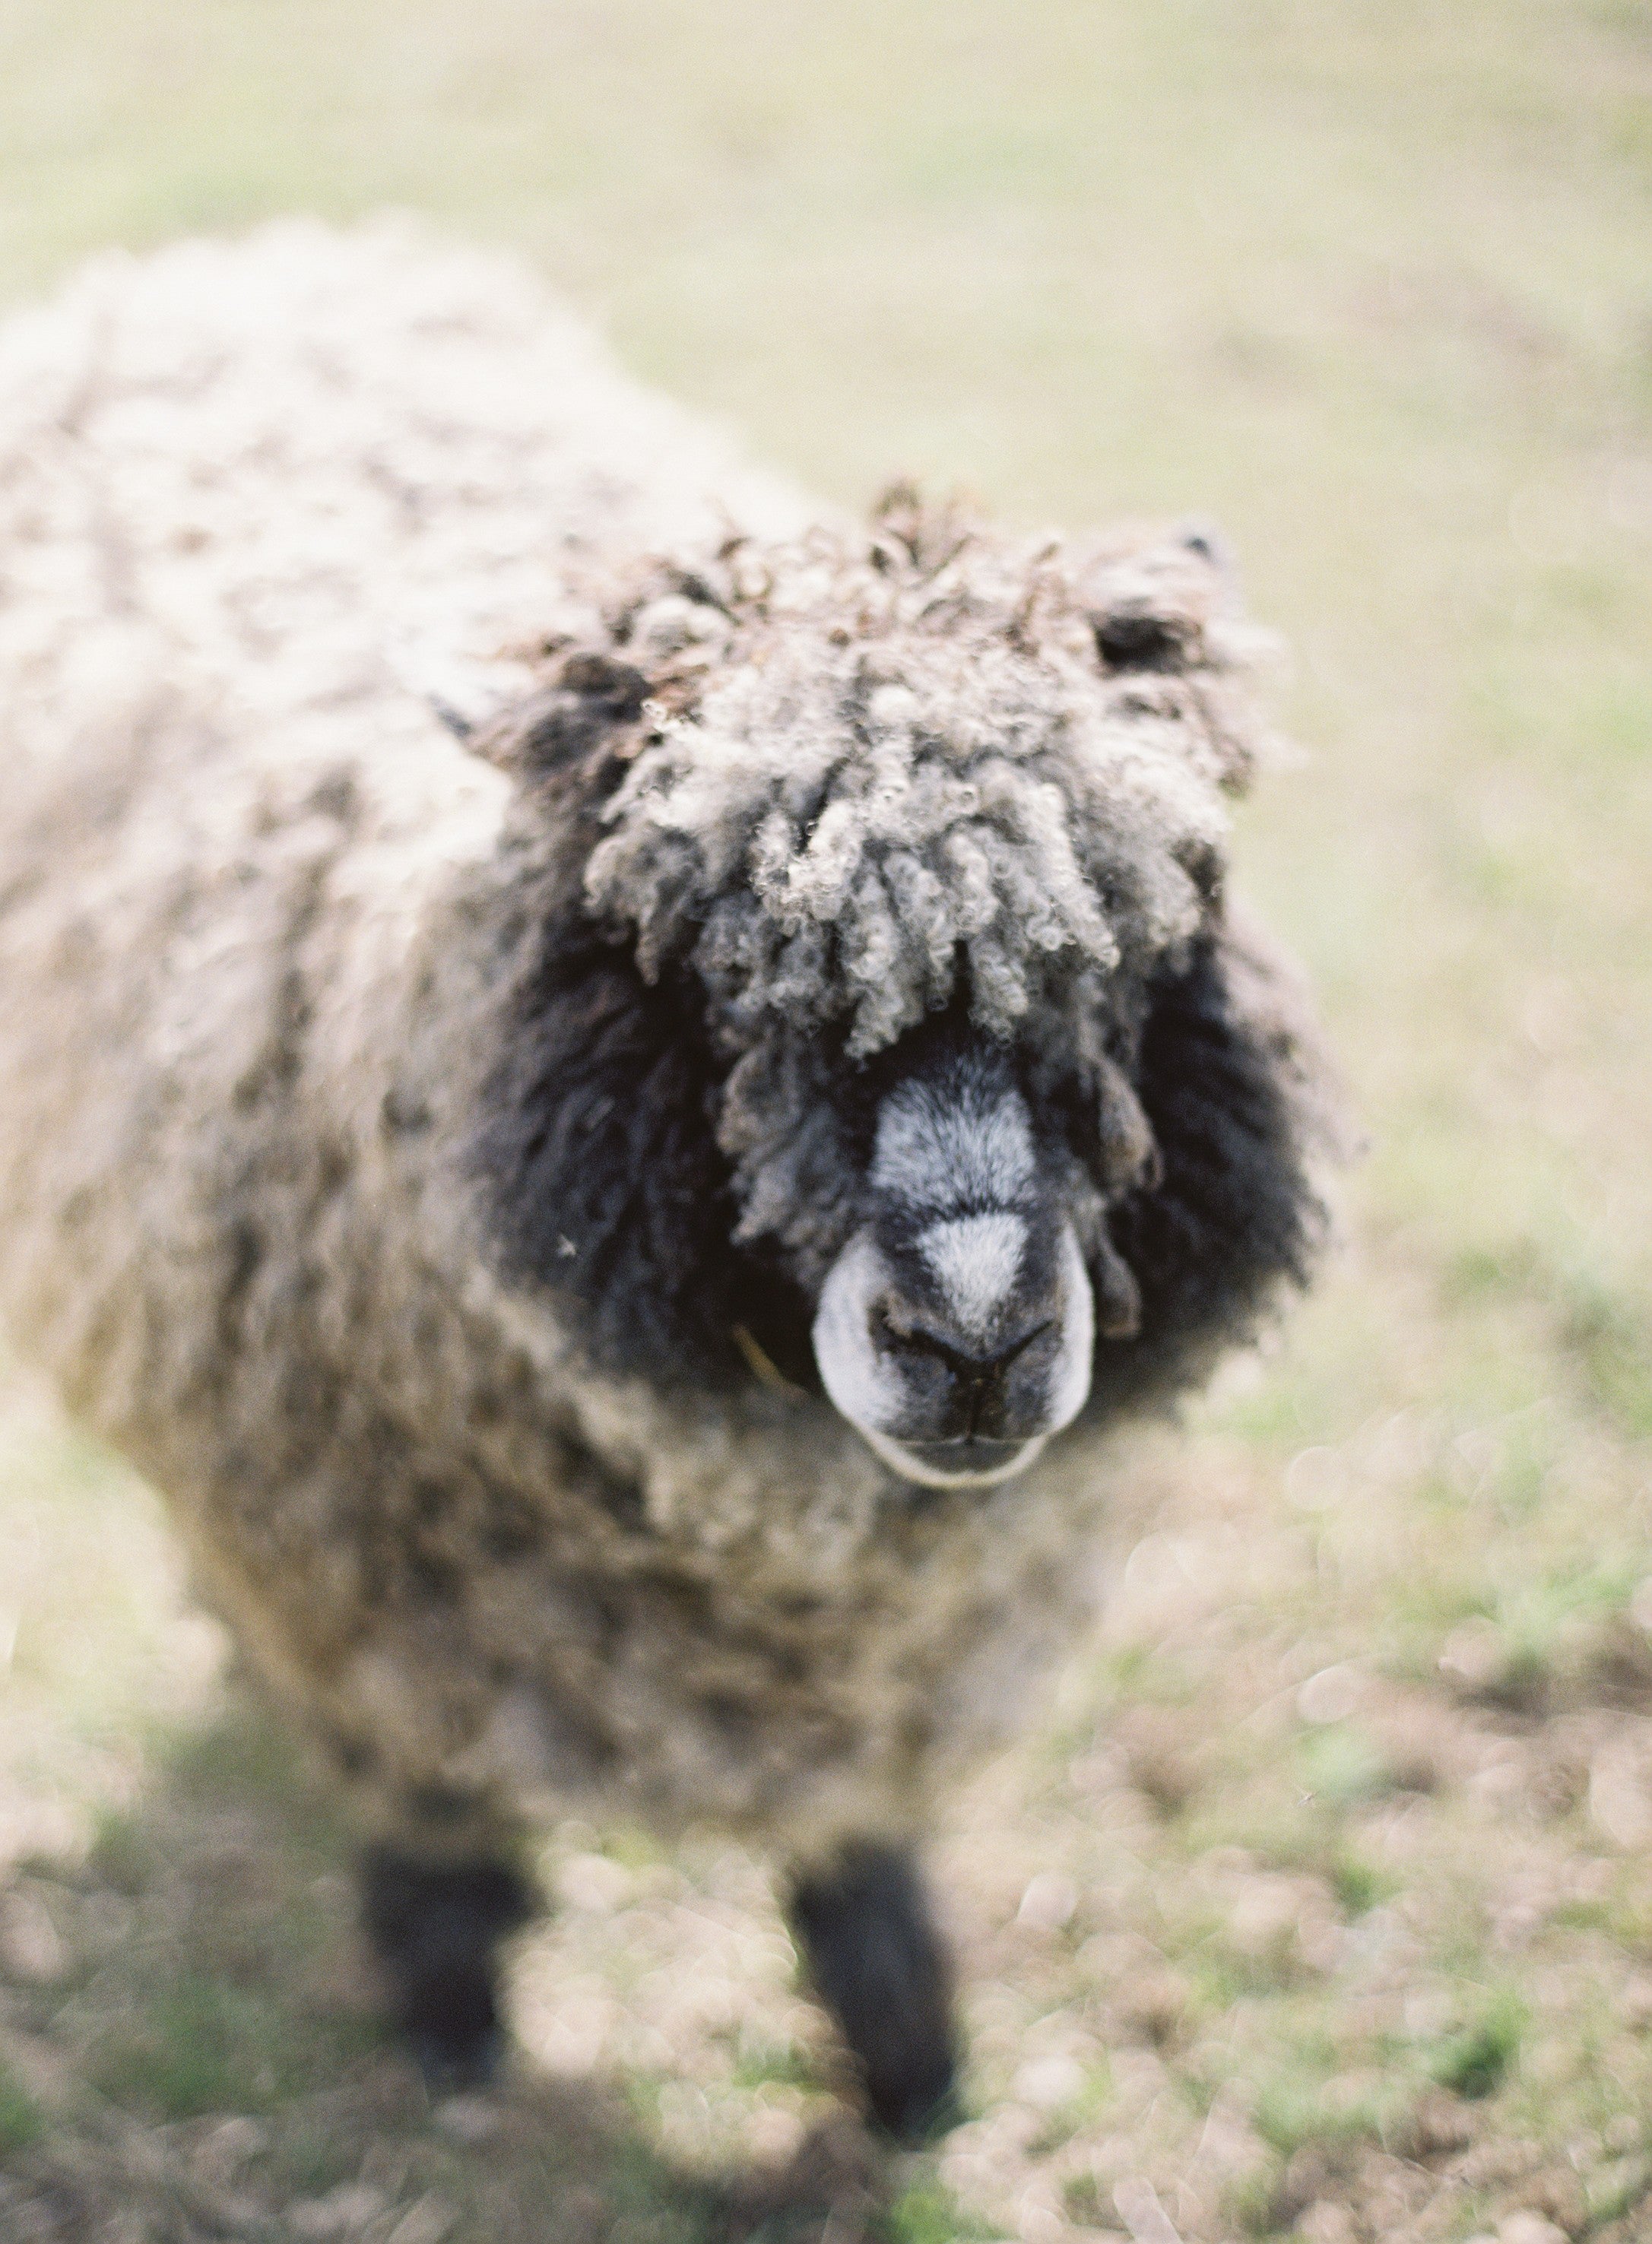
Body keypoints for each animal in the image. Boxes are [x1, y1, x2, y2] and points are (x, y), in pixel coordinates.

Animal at [0, 220, 1336, 2139]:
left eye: (1144, 953)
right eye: (698, 975)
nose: (976, 1342)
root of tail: (250, 259)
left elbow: (859, 1840)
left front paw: (906, 2053)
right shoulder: (355, 1592)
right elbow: (426, 1799)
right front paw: (450, 2009)